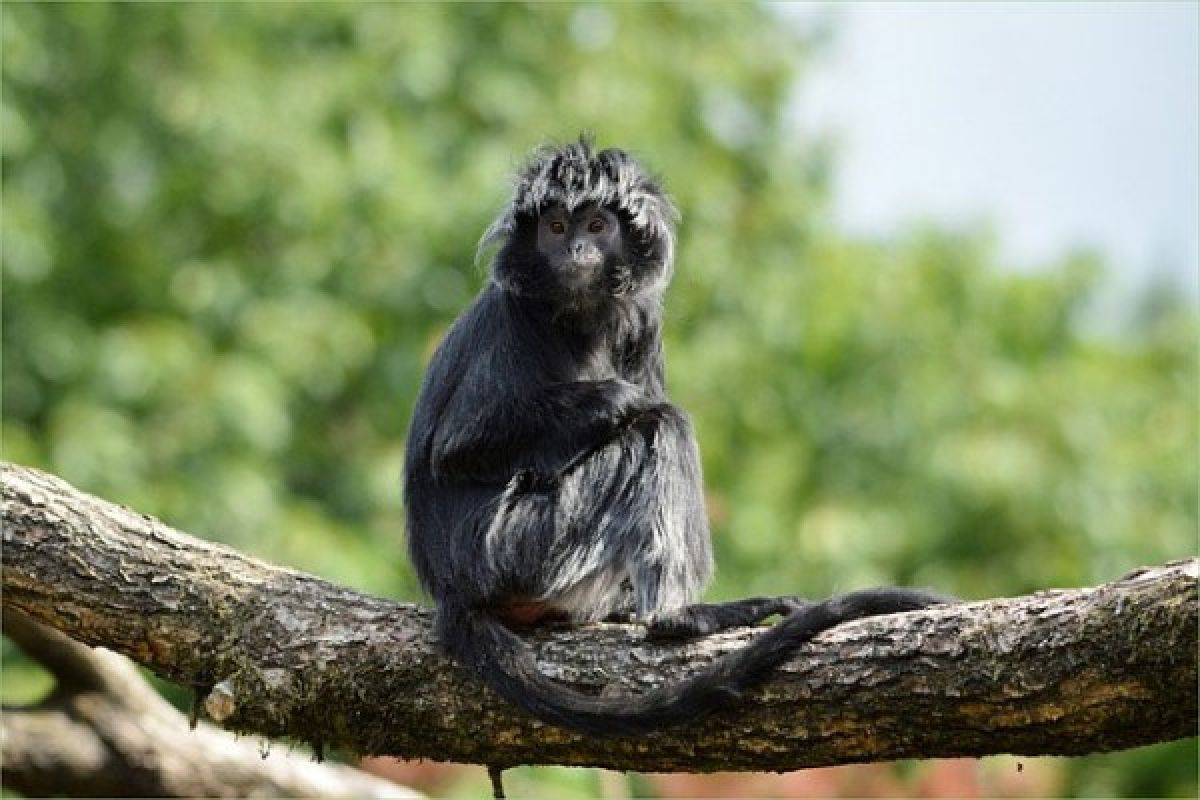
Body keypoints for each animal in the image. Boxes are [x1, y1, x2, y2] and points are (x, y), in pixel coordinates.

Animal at [403, 137, 945, 738]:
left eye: (596, 225)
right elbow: (460, 448)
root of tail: (453, 593)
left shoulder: (643, 322)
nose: (577, 250)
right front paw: (617, 399)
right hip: (517, 547)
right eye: (556, 227)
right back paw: (678, 617)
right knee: (659, 429)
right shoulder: (512, 316)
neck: (576, 316)